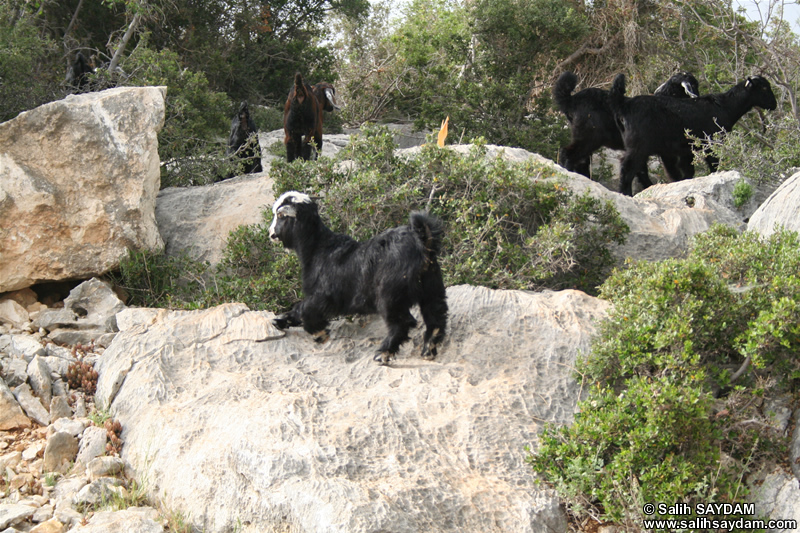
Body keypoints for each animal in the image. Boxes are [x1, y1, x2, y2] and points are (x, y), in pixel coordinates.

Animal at [266, 192, 446, 366]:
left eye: (281, 216)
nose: (271, 234)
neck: (317, 249)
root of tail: (422, 243)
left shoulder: (324, 295)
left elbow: (305, 309)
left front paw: (320, 334)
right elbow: (298, 310)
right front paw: (279, 321)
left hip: (390, 294)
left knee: (403, 322)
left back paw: (382, 354)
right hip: (432, 287)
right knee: (436, 316)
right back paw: (428, 350)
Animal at [552, 70, 696, 180]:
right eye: (693, 84)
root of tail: (571, 100)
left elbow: (641, 171)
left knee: (581, 161)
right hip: (589, 136)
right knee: (568, 154)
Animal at [612, 71, 776, 194]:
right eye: (764, 88)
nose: (773, 104)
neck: (725, 106)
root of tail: (623, 105)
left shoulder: (685, 151)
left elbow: (687, 172)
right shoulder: (711, 143)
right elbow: (713, 165)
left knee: (639, 170)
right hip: (638, 146)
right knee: (627, 169)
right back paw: (625, 193)